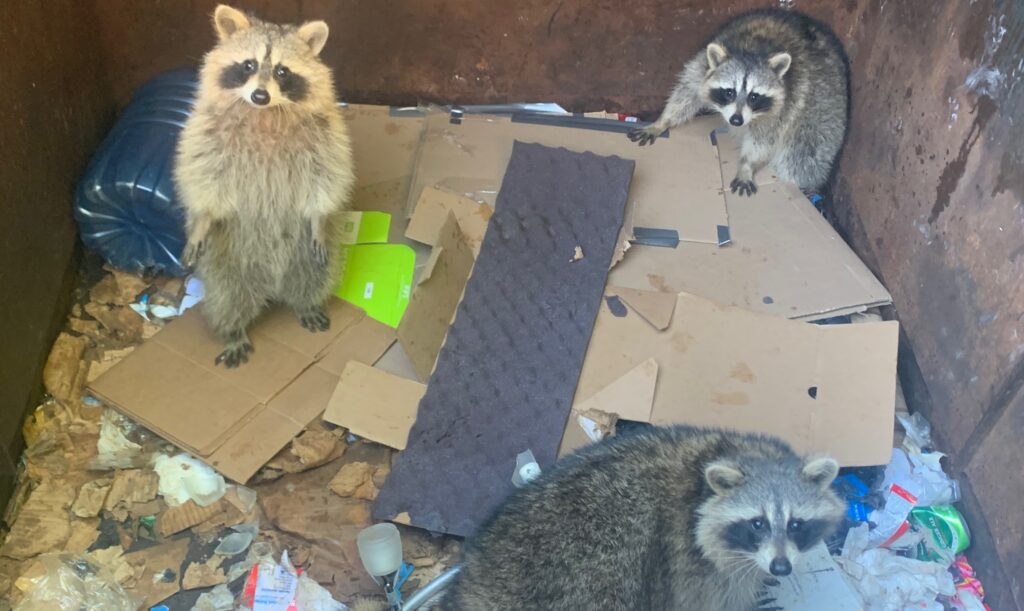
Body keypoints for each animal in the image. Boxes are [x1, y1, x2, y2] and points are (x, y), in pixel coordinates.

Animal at [174, 5, 354, 367]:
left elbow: (326, 178)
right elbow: (205, 177)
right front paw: (202, 220)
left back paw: (306, 302)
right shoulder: (206, 131)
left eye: (283, 71)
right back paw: (233, 331)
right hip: (226, 257)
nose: (260, 95)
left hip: (307, 253)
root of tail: (272, 285)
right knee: (227, 295)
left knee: (315, 274)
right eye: (248, 65)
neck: (265, 113)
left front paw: (318, 216)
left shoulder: (326, 135)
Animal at [442, 426, 844, 611]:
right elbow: (718, 599)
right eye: (757, 523)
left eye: (796, 524)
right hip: (588, 585)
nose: (781, 567)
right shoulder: (690, 566)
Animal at [628, 9, 849, 196]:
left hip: (821, 109)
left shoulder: (787, 101)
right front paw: (662, 121)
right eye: (729, 92)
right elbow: (687, 93)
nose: (736, 121)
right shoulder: (702, 67)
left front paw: (746, 164)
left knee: (803, 157)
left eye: (754, 96)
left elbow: (764, 138)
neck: (752, 50)